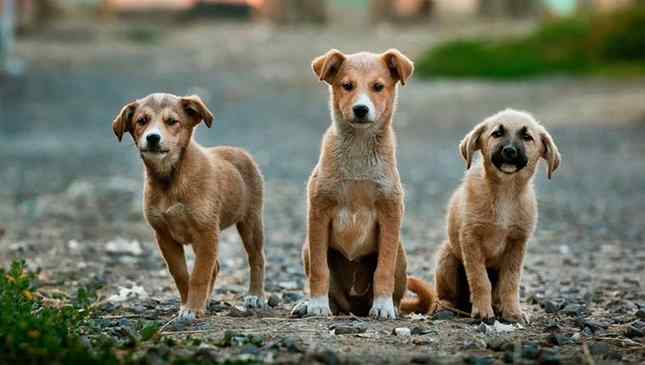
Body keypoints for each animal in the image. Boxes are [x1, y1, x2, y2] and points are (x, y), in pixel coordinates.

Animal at [112, 92, 266, 320]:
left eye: (172, 121)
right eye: (142, 121)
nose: (153, 138)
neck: (170, 179)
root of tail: (240, 151)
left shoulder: (206, 232)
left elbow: (199, 274)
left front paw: (192, 308)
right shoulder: (164, 236)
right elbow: (182, 274)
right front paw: (189, 304)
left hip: (250, 221)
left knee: (256, 258)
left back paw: (255, 296)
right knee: (216, 266)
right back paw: (207, 301)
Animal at [296, 49, 432, 318]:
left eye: (378, 87)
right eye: (347, 85)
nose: (360, 109)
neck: (358, 148)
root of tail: (354, 307)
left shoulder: (390, 213)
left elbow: (383, 270)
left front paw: (383, 306)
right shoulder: (319, 211)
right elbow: (319, 269)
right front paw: (316, 304)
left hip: (400, 253)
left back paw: (390, 306)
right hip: (308, 247)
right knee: (333, 295)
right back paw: (312, 305)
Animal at [418, 108, 560, 322]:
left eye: (527, 137)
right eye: (497, 133)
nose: (509, 151)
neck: (505, 193)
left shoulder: (517, 243)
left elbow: (511, 282)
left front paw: (513, 312)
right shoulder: (471, 239)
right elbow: (480, 280)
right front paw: (483, 311)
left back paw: (499, 306)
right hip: (447, 258)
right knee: (446, 296)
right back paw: (446, 307)